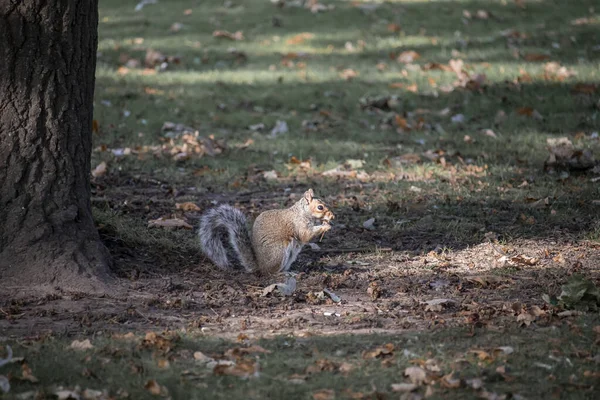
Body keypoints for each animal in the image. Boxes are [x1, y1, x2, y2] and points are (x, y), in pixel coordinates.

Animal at [199, 189, 336, 274]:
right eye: (320, 207)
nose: (333, 216)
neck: (302, 212)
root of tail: (260, 266)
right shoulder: (299, 224)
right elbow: (306, 235)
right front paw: (325, 226)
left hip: (291, 255)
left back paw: (290, 272)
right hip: (278, 252)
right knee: (271, 273)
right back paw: (282, 274)